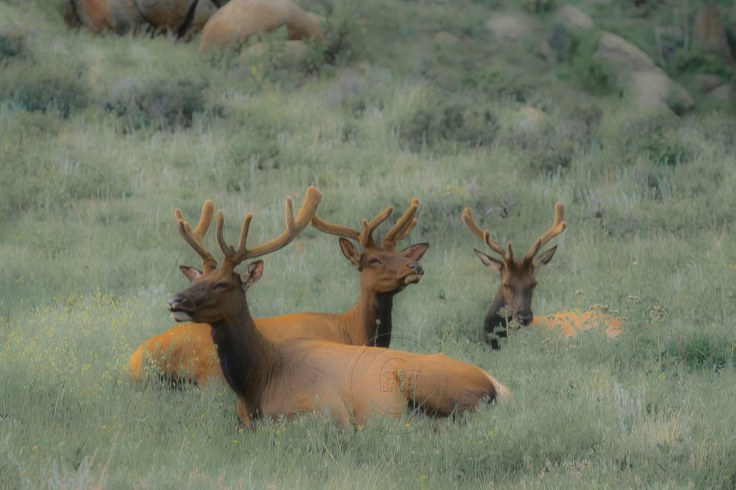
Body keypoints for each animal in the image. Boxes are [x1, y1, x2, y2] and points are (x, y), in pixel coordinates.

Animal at [165, 191, 509, 428]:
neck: (257, 383)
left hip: (418, 379)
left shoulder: (328, 409)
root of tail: (497, 385)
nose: (174, 301)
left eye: (221, 284)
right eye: (198, 278)